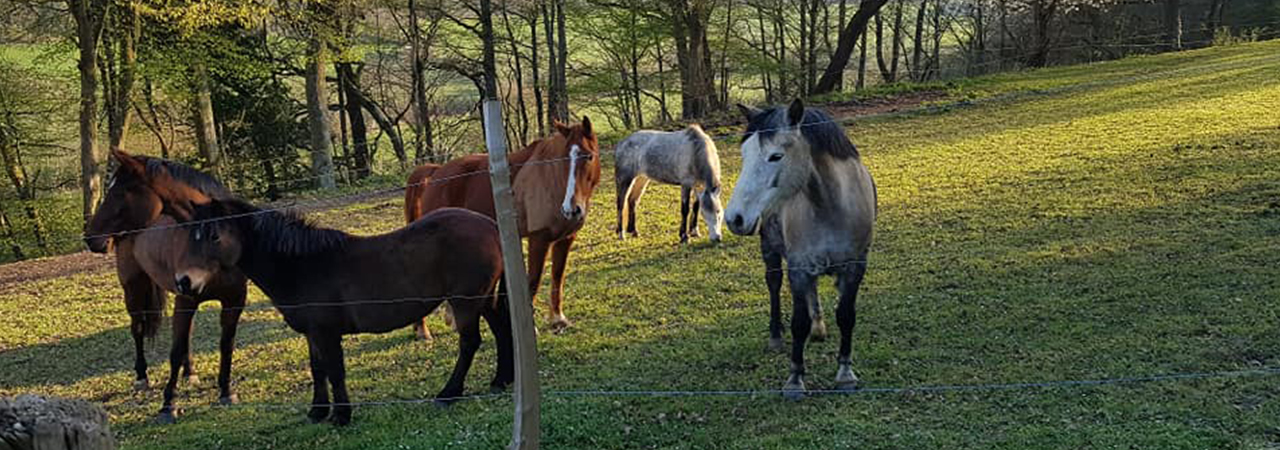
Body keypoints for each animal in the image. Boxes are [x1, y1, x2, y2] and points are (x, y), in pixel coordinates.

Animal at [83, 150, 249, 421]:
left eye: (120, 192)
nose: (90, 238)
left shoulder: (234, 300)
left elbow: (226, 345)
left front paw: (226, 392)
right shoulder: (185, 299)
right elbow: (175, 351)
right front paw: (168, 405)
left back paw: (190, 373)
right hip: (133, 288)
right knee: (138, 329)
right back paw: (141, 377)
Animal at [171, 198, 509, 424]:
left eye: (214, 235)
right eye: (189, 236)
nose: (183, 281)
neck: (303, 266)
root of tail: (491, 226)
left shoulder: (327, 332)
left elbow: (335, 371)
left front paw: (341, 415)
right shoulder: (312, 333)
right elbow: (317, 369)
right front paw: (318, 411)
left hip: (466, 301)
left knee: (470, 343)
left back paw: (449, 393)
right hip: (485, 299)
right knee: (501, 330)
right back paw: (501, 381)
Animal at [404, 117, 604, 332]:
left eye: (589, 156)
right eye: (563, 160)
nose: (571, 209)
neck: (551, 181)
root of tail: (436, 172)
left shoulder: (565, 239)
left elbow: (558, 277)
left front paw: (558, 319)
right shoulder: (538, 239)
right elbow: (533, 281)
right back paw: (423, 329)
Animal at [727, 100, 875, 398]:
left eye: (775, 156)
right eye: (744, 155)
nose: (734, 218)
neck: (832, 206)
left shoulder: (855, 267)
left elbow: (846, 316)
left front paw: (845, 374)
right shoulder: (798, 268)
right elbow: (798, 323)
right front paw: (795, 379)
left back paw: (819, 327)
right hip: (770, 249)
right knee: (773, 284)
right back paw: (776, 336)